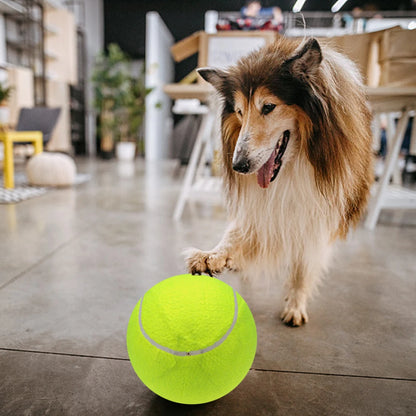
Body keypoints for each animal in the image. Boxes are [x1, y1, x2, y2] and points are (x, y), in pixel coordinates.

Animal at [185, 37, 374, 326]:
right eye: (239, 111)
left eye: (268, 107)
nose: (238, 166)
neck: (293, 165)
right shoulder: (261, 205)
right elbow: (236, 232)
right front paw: (213, 256)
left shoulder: (319, 209)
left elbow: (303, 264)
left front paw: (295, 305)